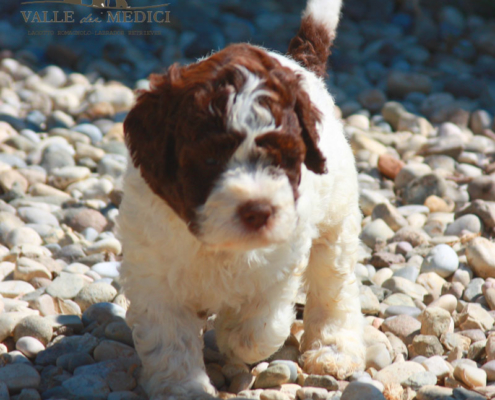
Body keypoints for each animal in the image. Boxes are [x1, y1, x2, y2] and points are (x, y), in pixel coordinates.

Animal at [119, 0, 368, 396]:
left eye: (283, 159)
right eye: (210, 159)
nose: (258, 210)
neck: (217, 245)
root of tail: (299, 63)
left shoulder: (281, 259)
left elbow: (258, 328)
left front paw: (231, 334)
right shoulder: (152, 274)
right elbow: (169, 341)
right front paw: (183, 389)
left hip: (337, 215)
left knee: (334, 284)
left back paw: (334, 350)